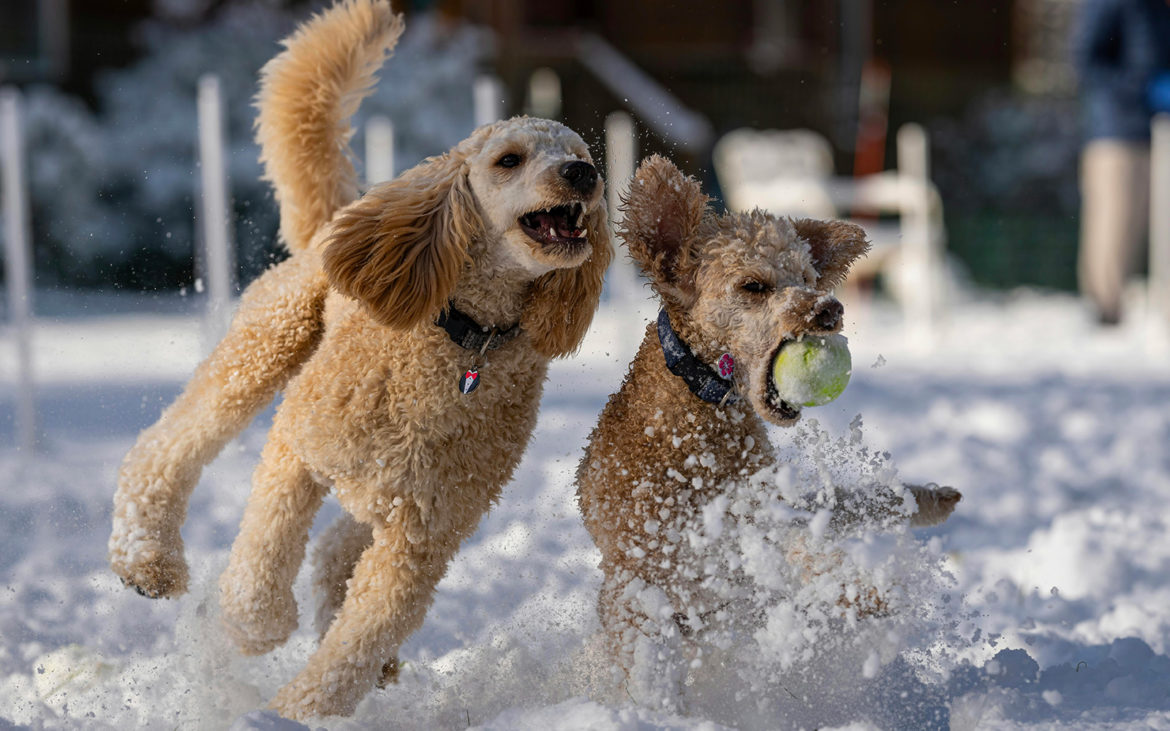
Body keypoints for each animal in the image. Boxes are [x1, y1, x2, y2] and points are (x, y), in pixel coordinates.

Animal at [109, 0, 613, 720]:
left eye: (579, 154)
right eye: (509, 160)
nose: (583, 176)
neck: (464, 341)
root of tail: (343, 217)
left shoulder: (423, 536)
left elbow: (358, 640)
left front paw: (295, 713)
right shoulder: (297, 444)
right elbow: (265, 552)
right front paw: (252, 626)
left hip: (383, 491)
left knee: (333, 552)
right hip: (269, 342)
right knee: (171, 443)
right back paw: (147, 558)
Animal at [577, 156, 959, 706]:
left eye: (807, 276)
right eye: (753, 286)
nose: (828, 308)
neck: (698, 423)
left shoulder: (758, 515)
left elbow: (802, 547)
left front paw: (860, 590)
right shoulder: (638, 570)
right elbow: (643, 647)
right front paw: (657, 707)